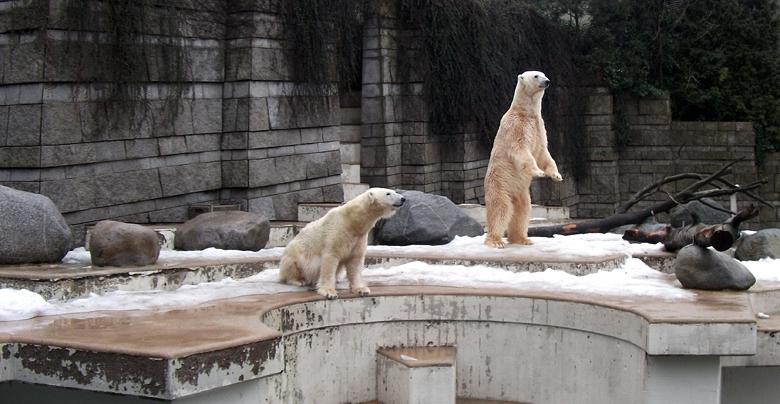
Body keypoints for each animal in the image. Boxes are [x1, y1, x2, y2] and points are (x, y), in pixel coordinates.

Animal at [278, 188, 406, 298]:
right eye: (388, 193)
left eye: (395, 191)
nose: (403, 199)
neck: (352, 222)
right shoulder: (336, 232)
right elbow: (330, 259)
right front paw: (329, 292)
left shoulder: (359, 238)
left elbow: (355, 260)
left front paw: (362, 289)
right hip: (295, 253)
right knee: (291, 266)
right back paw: (299, 280)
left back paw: (338, 278)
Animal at [484, 71, 564, 248]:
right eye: (536, 76)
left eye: (543, 74)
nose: (547, 81)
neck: (526, 112)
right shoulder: (516, 126)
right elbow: (520, 150)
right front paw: (539, 172)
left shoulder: (539, 127)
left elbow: (543, 153)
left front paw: (556, 175)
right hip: (500, 183)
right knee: (500, 208)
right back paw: (495, 241)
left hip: (521, 191)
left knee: (523, 210)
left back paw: (522, 239)